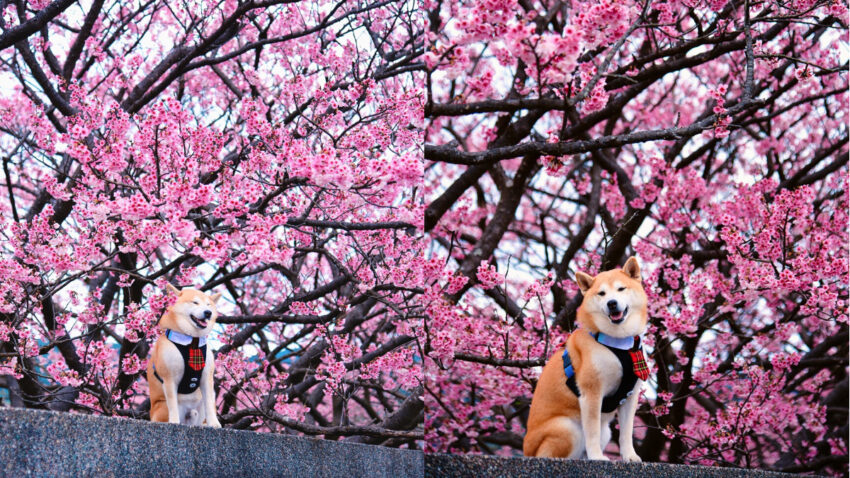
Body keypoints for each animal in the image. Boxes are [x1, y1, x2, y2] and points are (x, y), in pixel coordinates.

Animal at [148, 284, 222, 426]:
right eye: (195, 302)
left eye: (208, 305)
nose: (208, 312)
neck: (192, 342)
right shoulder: (169, 378)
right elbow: (173, 404)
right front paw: (174, 422)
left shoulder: (207, 378)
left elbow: (210, 404)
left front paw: (214, 423)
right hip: (162, 407)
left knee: (197, 415)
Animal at [520, 256, 644, 462]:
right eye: (601, 293)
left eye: (621, 289)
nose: (611, 303)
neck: (618, 343)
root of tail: (526, 451)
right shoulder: (591, 392)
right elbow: (592, 432)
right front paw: (597, 457)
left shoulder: (630, 395)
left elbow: (626, 432)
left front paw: (630, 456)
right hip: (567, 428)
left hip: (606, 432)